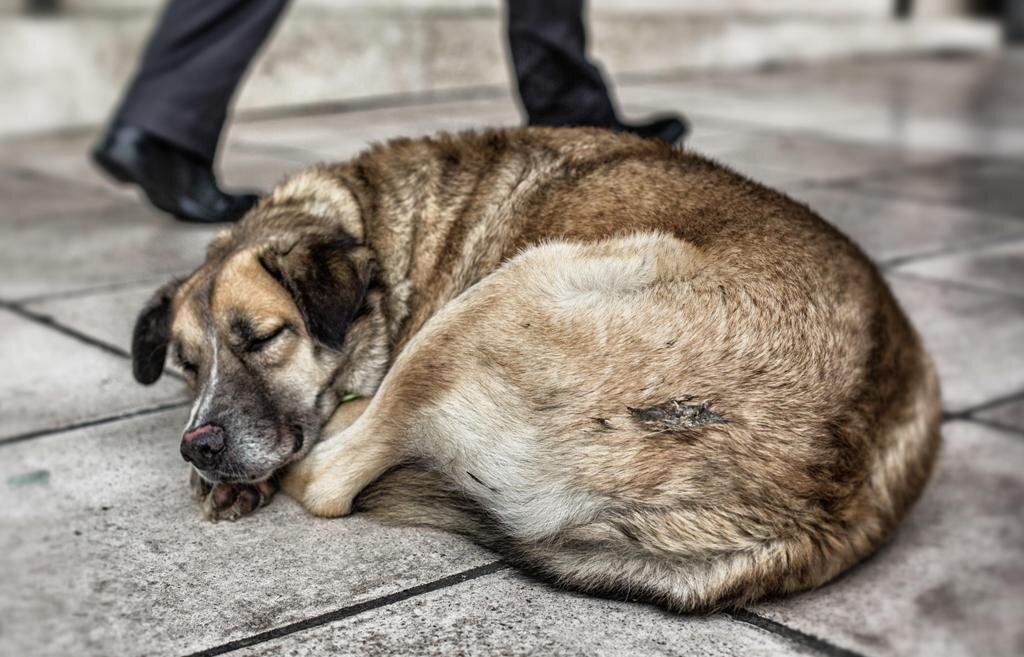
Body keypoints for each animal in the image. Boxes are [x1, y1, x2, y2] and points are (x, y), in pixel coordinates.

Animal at [132, 126, 937, 609]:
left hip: (503, 291)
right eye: (186, 365)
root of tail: (829, 495)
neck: (379, 231)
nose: (198, 446)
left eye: (264, 336)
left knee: (332, 476)